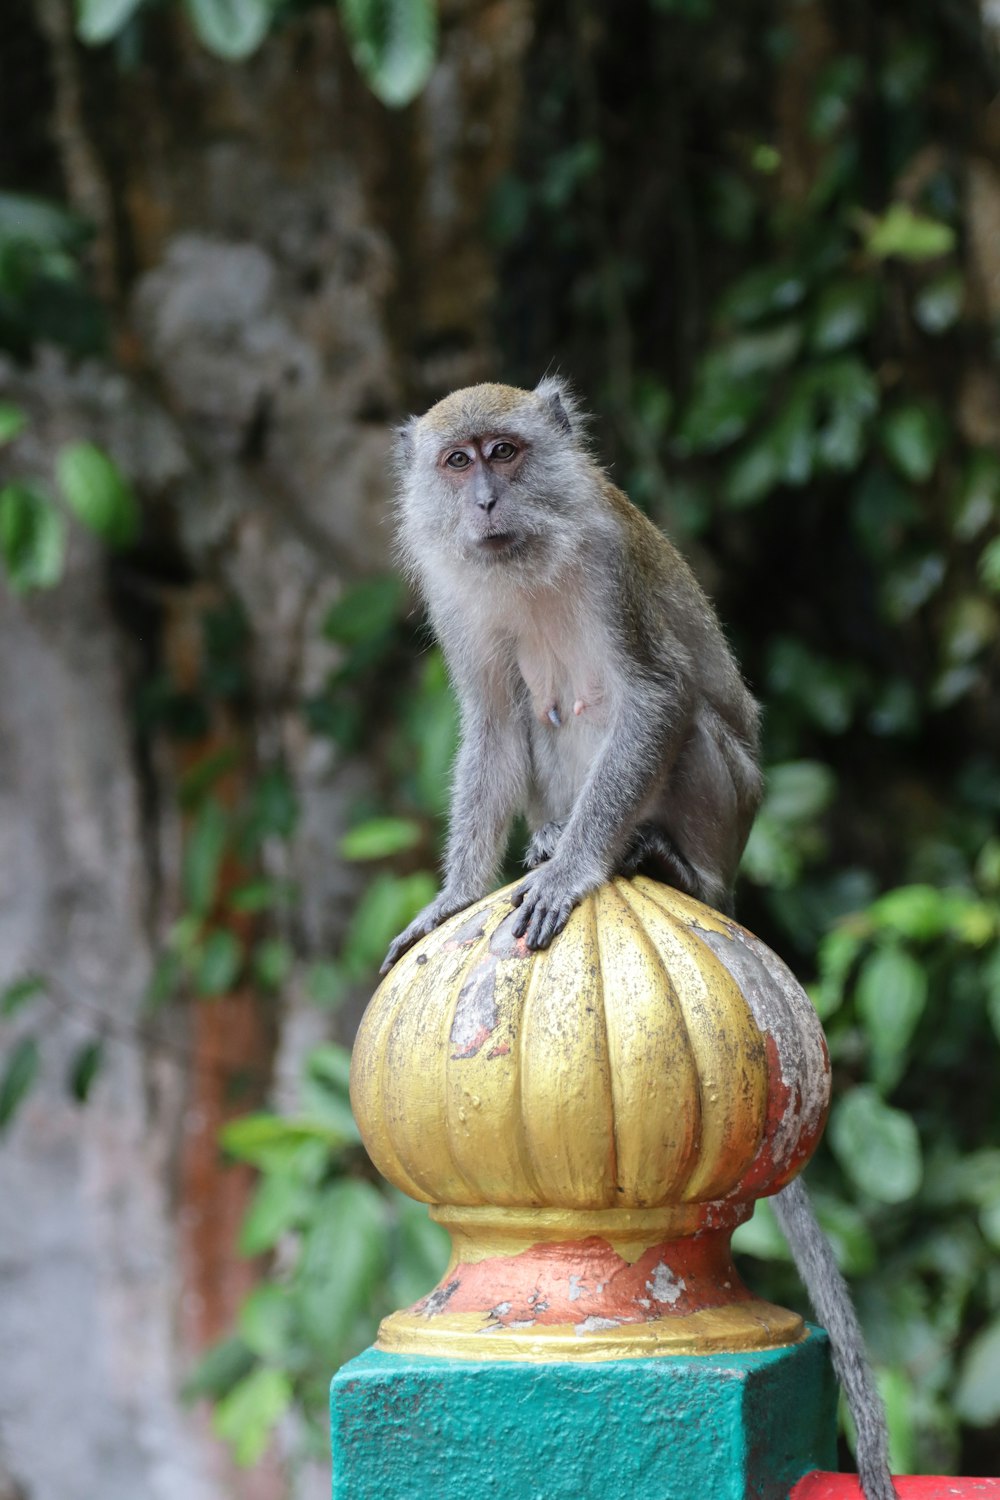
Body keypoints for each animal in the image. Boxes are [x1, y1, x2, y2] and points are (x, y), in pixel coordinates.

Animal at [379, 375, 893, 1500]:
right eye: (456, 463)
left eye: (506, 452)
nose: (485, 501)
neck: (527, 561)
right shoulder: (458, 603)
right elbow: (492, 723)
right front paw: (456, 892)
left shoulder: (614, 570)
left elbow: (656, 695)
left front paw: (575, 871)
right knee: (541, 717)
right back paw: (546, 843)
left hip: (725, 798)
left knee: (677, 718)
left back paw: (649, 860)